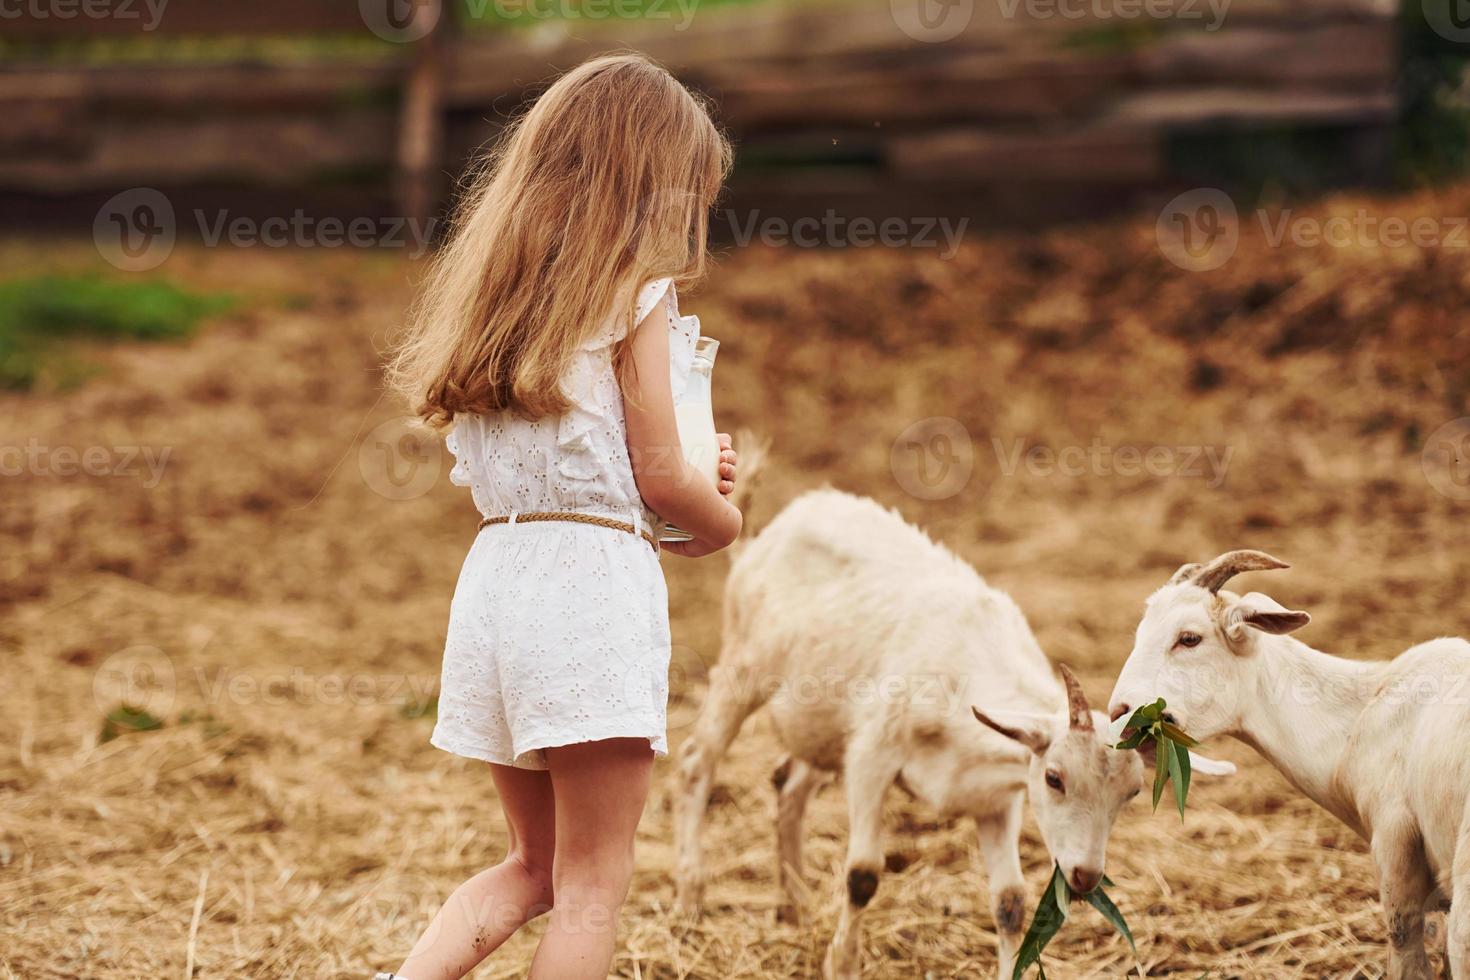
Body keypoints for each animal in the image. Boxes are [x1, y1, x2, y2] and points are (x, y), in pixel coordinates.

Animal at [676, 490, 1228, 980]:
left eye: (1131, 793)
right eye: (1054, 778)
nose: (1086, 877)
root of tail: (780, 524)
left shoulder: (996, 796)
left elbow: (1010, 901)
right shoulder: (872, 756)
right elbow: (862, 875)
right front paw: (843, 964)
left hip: (821, 727)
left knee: (787, 785)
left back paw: (795, 907)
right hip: (743, 668)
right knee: (696, 760)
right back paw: (691, 898)